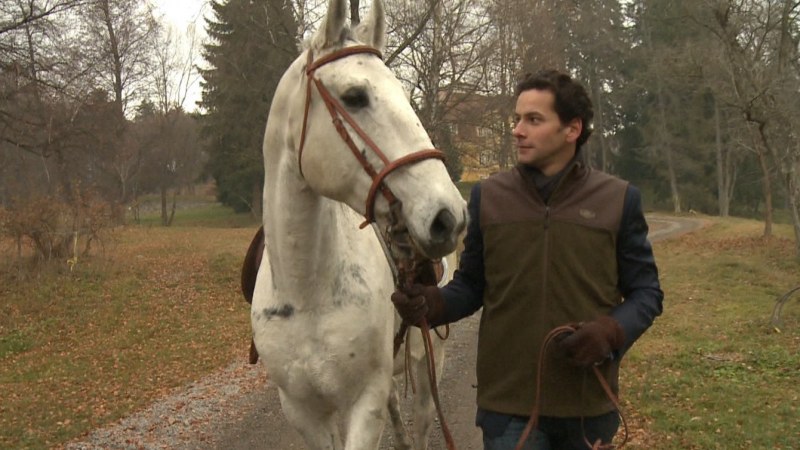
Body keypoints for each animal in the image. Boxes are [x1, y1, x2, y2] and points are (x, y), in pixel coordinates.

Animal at [250, 0, 468, 448]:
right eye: (354, 97)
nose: (448, 216)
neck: (307, 294)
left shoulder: (364, 404)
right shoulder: (303, 413)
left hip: (428, 359)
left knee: (422, 420)